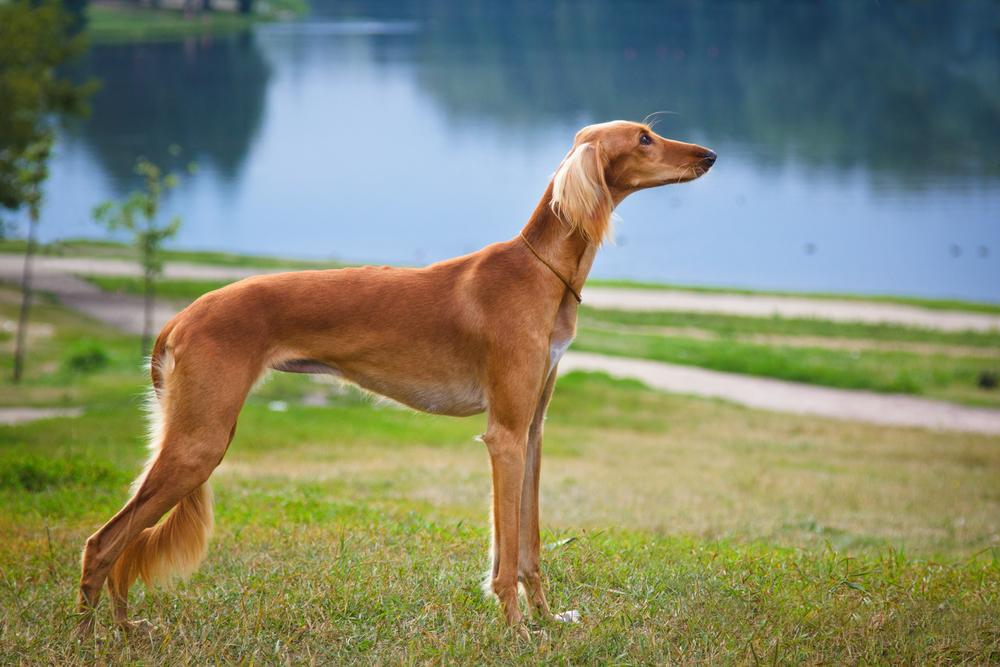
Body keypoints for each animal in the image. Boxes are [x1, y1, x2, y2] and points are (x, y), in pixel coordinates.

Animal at [78, 120, 716, 636]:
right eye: (644, 138)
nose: (709, 155)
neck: (540, 274)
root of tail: (180, 316)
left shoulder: (532, 432)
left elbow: (529, 545)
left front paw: (545, 617)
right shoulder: (504, 436)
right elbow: (507, 551)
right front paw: (516, 629)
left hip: (191, 439)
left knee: (125, 543)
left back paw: (126, 628)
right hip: (200, 442)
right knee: (103, 541)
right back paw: (91, 636)